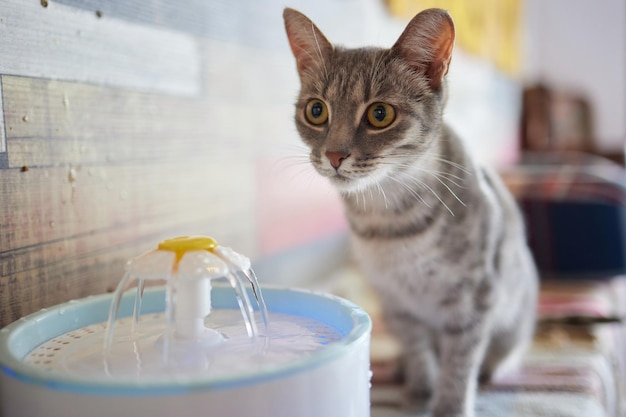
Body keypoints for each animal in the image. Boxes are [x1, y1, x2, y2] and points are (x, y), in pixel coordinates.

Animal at [282, 6, 536, 416]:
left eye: (379, 114)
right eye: (316, 110)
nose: (334, 155)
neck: (390, 217)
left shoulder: (474, 297)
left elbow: (460, 360)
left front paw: (449, 405)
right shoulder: (396, 301)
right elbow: (418, 349)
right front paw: (420, 389)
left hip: (513, 317)